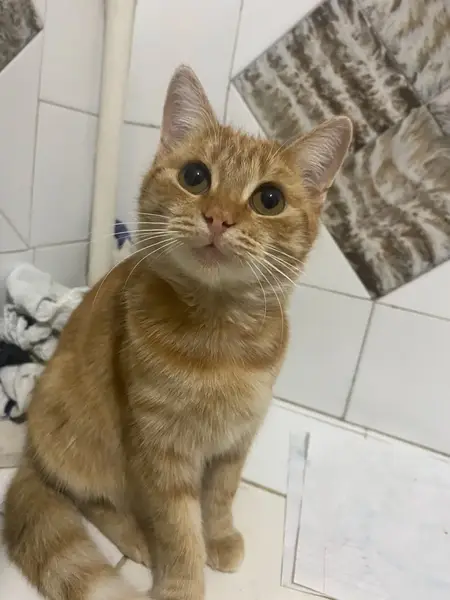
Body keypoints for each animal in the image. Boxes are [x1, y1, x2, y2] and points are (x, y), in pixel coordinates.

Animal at [3, 65, 352, 600]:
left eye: (269, 199)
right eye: (195, 176)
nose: (219, 217)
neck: (220, 337)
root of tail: (31, 453)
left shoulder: (235, 439)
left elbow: (221, 497)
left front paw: (221, 538)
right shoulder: (161, 450)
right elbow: (177, 526)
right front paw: (182, 583)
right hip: (84, 442)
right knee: (89, 498)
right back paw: (135, 538)